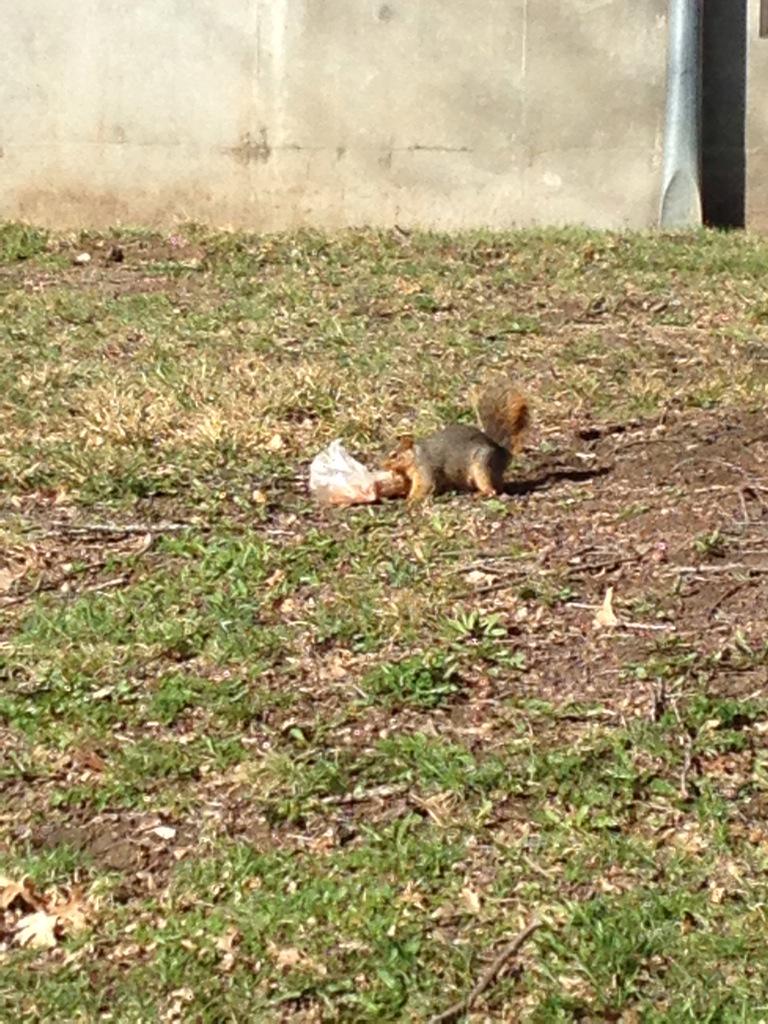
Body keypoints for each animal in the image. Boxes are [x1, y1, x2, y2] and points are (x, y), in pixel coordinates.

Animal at [381, 378, 530, 501]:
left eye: (394, 455)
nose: (382, 465)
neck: (415, 455)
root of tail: (501, 451)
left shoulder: (424, 467)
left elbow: (425, 485)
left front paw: (410, 500)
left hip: (482, 467)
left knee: (492, 489)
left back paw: (480, 493)